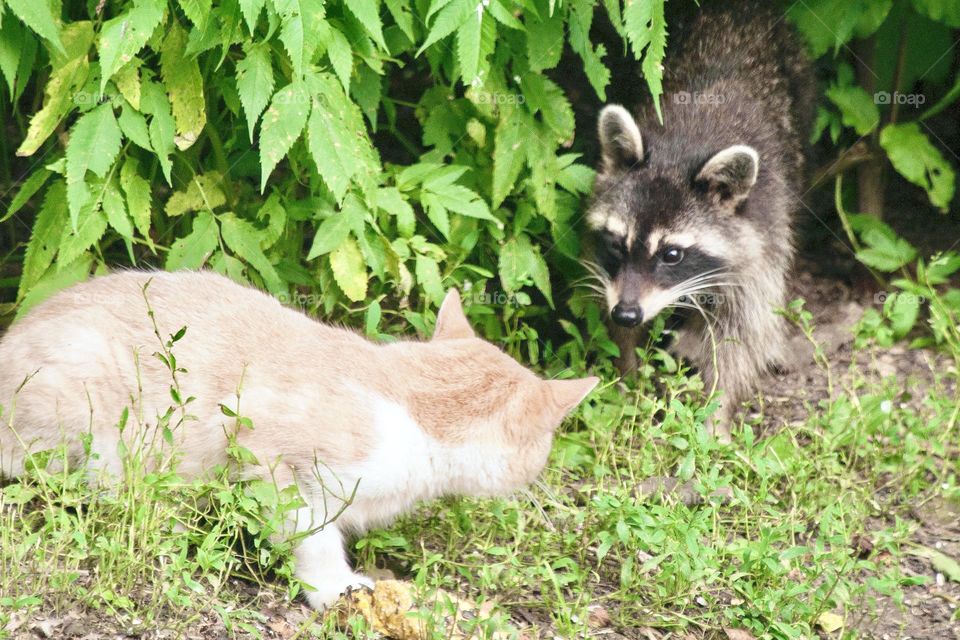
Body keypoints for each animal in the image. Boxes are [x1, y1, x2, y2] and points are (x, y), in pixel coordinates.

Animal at [584, 1, 808, 440]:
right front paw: (627, 375)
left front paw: (716, 412)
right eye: (617, 243)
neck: (680, 150)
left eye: (672, 254)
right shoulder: (612, 276)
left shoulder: (762, 239)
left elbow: (740, 336)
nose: (627, 312)